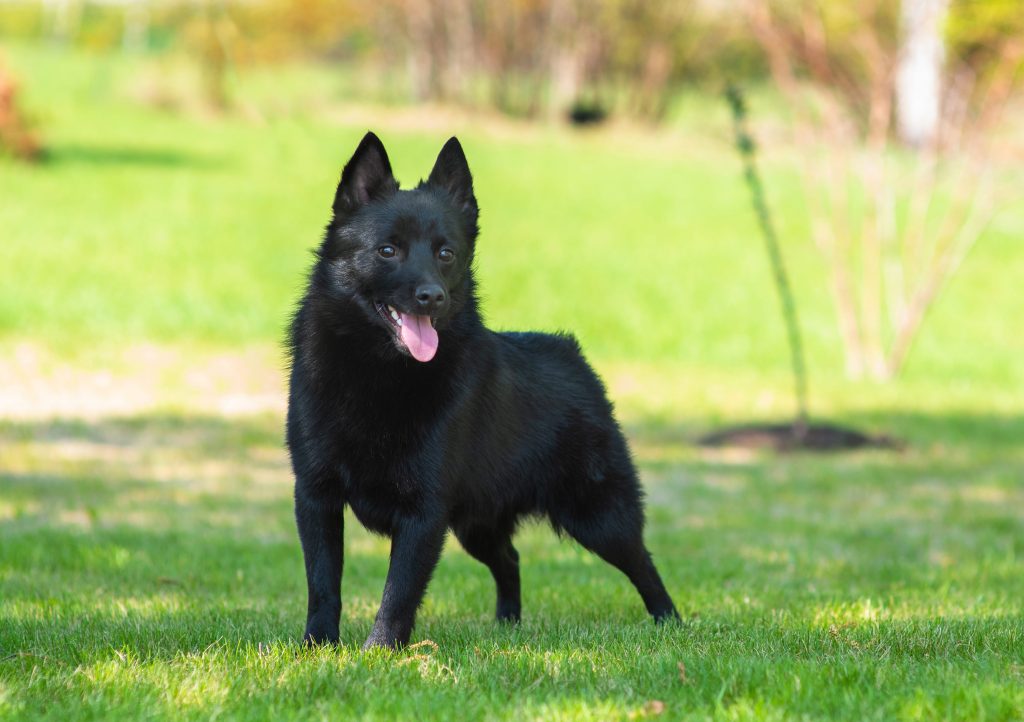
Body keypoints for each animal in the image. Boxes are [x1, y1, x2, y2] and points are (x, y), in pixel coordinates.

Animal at [286, 132, 679, 651]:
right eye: (388, 250)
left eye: (446, 253)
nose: (432, 296)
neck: (378, 376)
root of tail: (571, 353)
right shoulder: (317, 497)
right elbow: (323, 583)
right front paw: (318, 647)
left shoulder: (423, 515)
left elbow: (399, 593)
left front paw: (378, 653)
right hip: (477, 524)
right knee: (510, 559)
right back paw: (507, 624)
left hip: (597, 515)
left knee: (643, 563)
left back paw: (670, 622)